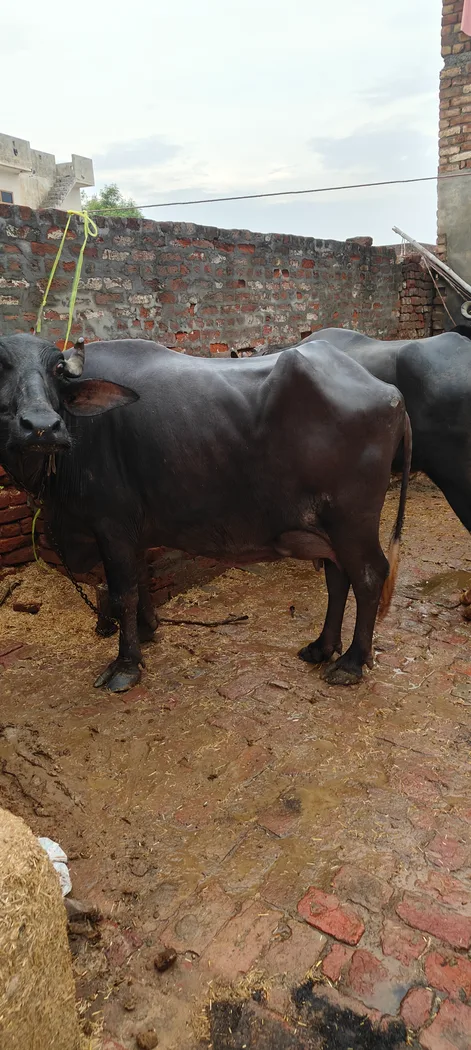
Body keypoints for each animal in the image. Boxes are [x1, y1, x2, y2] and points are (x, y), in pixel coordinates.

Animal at [0, 333, 410, 692]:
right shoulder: (134, 532)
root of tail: (391, 394)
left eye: (56, 369)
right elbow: (142, 581)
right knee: (338, 577)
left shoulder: (111, 527)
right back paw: (322, 648)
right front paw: (148, 631)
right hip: (328, 526)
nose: (41, 427)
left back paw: (351, 663)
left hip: (352, 521)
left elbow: (122, 595)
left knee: (369, 576)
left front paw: (126, 664)